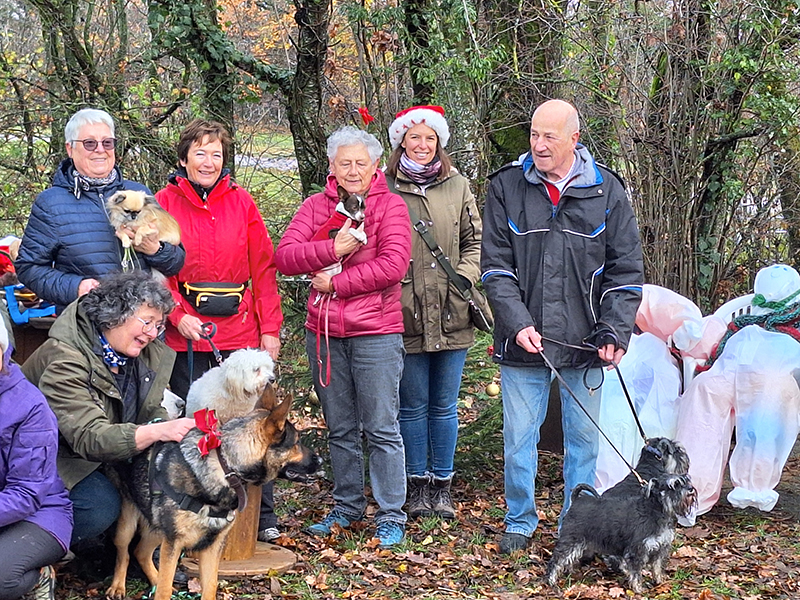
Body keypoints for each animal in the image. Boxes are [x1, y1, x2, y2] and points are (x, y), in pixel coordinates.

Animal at [107, 387, 320, 600]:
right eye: (297, 442)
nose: (319, 460)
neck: (225, 465)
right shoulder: (174, 543)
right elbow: (164, 589)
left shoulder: (211, 547)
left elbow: (210, 586)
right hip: (129, 524)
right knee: (124, 552)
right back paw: (118, 586)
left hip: (158, 529)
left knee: (141, 552)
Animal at [546, 474, 697, 593]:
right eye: (673, 485)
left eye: (686, 480)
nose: (690, 489)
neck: (658, 510)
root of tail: (576, 500)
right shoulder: (637, 550)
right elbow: (636, 572)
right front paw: (638, 588)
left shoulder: (660, 547)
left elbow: (657, 566)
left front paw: (659, 581)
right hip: (571, 540)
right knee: (556, 560)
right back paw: (551, 581)